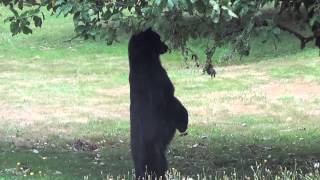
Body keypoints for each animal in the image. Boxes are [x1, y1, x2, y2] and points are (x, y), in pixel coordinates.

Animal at [127, 27, 188, 179]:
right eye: (158, 39)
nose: (166, 46)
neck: (142, 62)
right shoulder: (167, 92)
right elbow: (177, 107)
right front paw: (183, 124)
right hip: (157, 154)